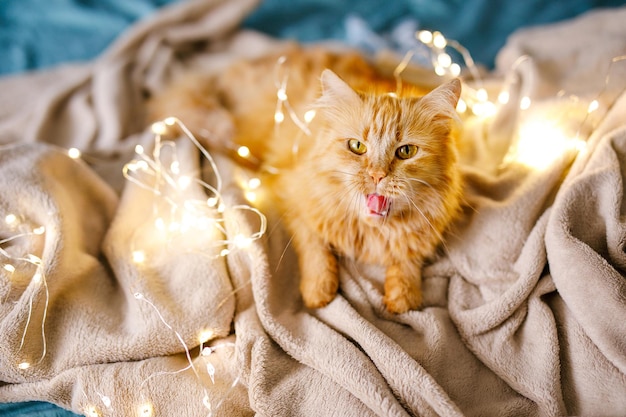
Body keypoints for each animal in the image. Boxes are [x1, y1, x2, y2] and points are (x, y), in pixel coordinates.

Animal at [149, 45, 460, 312]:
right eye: (357, 146)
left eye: (406, 151)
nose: (377, 174)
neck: (370, 234)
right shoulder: (293, 197)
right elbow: (315, 250)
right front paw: (318, 291)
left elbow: (408, 257)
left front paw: (404, 296)